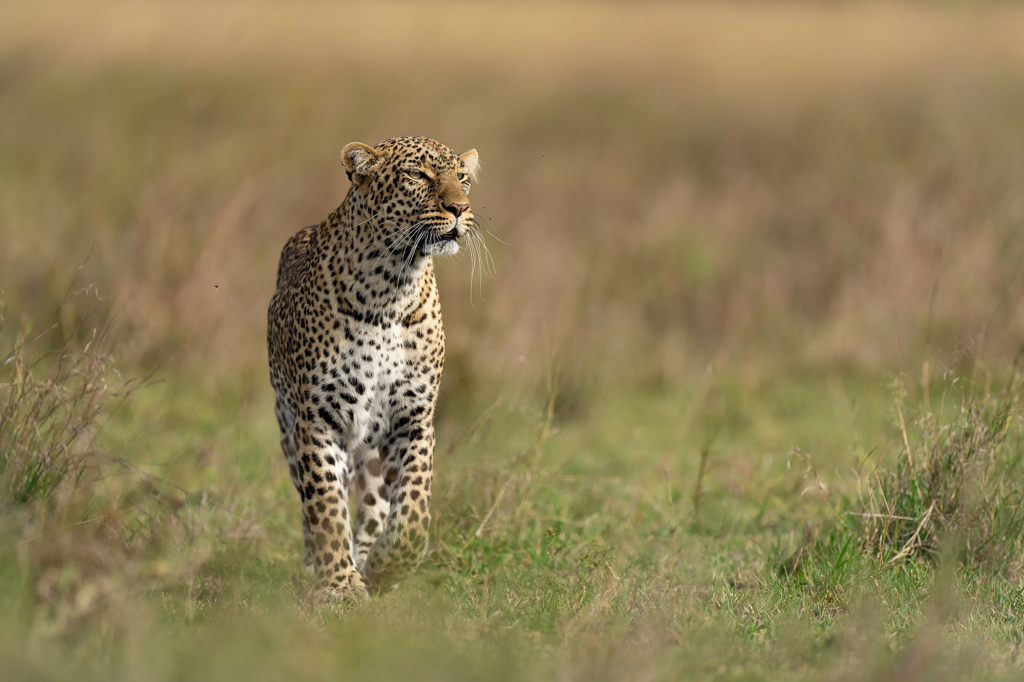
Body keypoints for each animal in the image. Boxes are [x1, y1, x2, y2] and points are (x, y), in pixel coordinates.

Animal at [270, 135, 481, 598]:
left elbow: (414, 512)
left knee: (373, 505)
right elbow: (327, 509)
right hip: (289, 431)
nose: (460, 208)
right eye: (418, 175)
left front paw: (386, 567)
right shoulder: (318, 421)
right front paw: (340, 586)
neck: (391, 288)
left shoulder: (413, 420)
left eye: (462, 177)